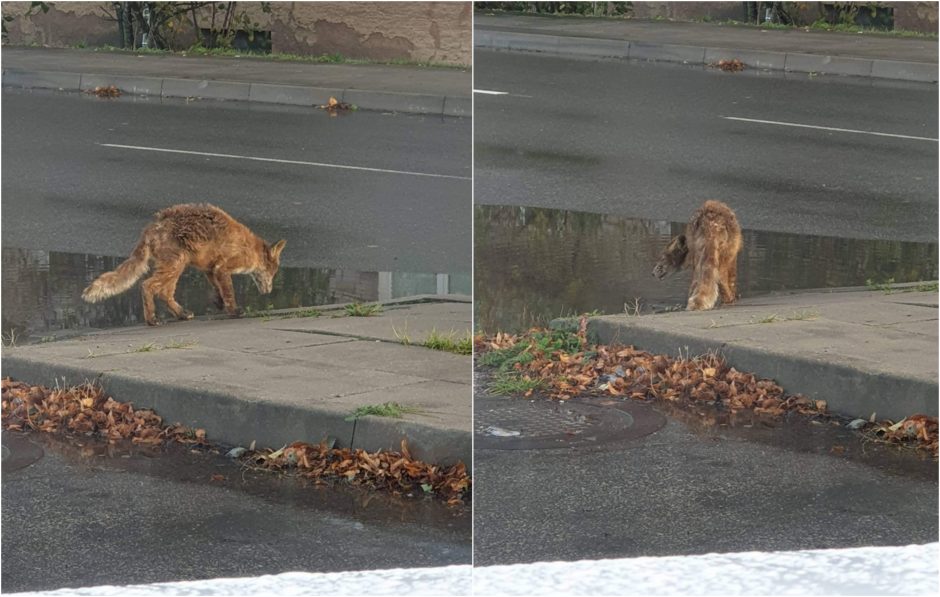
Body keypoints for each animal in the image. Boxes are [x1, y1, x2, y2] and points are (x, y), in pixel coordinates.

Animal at [81, 204, 286, 326]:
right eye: (272, 273)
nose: (268, 291)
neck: (252, 250)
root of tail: (151, 227)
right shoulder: (223, 268)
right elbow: (229, 292)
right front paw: (234, 311)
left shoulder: (210, 269)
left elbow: (218, 289)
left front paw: (218, 303)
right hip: (176, 265)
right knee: (148, 286)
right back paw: (152, 319)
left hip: (177, 266)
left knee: (164, 293)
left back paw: (181, 314)